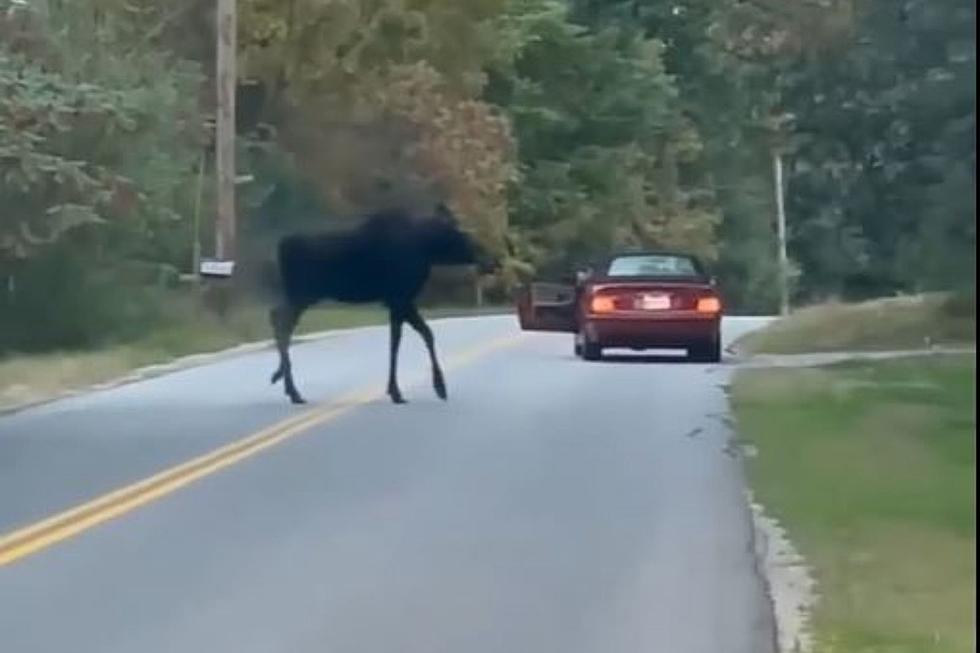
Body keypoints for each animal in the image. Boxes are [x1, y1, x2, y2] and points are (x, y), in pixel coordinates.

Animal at [270, 204, 494, 404]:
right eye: (463, 235)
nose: (491, 261)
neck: (428, 250)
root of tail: (281, 246)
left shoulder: (399, 301)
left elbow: (415, 336)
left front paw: (405, 388)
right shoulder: (400, 298)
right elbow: (406, 339)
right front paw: (427, 388)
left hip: (300, 296)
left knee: (278, 318)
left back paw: (284, 382)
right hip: (302, 294)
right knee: (281, 322)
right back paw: (292, 389)